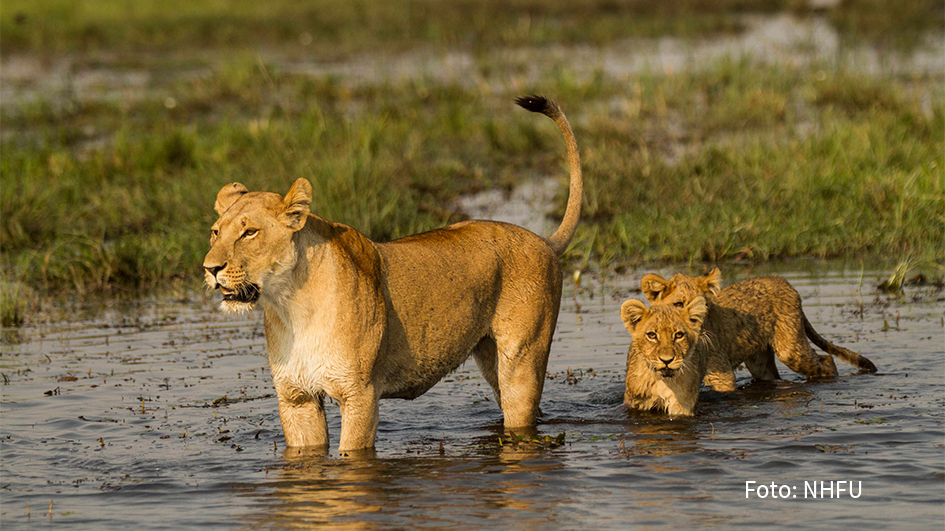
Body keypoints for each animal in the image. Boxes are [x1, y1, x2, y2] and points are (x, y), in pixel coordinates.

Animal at [203, 96, 582, 453]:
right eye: (215, 232)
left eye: (249, 233)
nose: (210, 268)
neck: (291, 304)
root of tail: (544, 241)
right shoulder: (297, 399)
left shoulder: (360, 394)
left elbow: (352, 456)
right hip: (492, 359)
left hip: (523, 359)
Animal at [641, 268, 877, 392]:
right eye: (679, 304)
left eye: (704, 306)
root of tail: (785, 282)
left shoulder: (721, 375)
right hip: (759, 361)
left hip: (790, 348)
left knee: (827, 359)